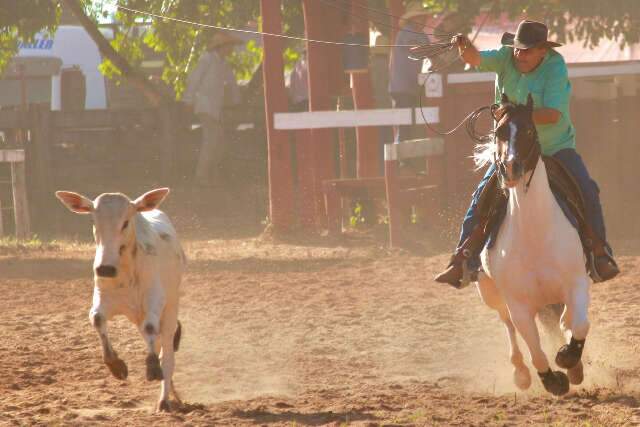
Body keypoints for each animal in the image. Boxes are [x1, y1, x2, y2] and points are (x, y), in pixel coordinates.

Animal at [56, 187, 184, 412]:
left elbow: (152, 328)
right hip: (137, 316)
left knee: (167, 351)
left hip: (170, 308)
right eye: (94, 221)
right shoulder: (103, 298)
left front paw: (152, 368)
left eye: (125, 222)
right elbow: (97, 318)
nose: (105, 268)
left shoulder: (155, 300)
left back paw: (164, 399)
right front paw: (116, 365)